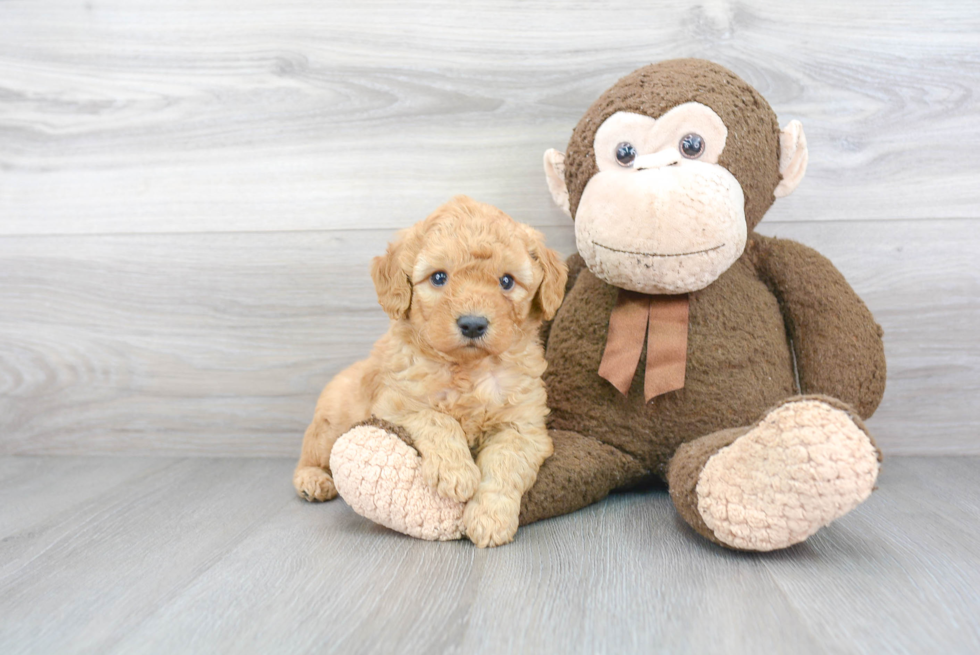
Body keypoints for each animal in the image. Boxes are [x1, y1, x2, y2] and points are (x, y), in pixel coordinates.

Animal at [292, 195, 568, 548]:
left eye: (506, 281)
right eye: (438, 277)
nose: (473, 324)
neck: (469, 368)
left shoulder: (523, 426)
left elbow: (504, 464)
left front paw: (490, 518)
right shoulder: (396, 403)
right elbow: (438, 419)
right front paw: (457, 473)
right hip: (330, 423)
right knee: (311, 453)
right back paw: (312, 480)